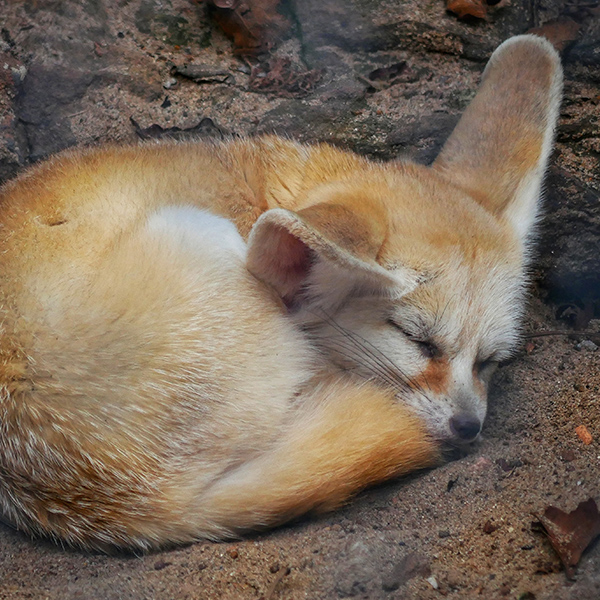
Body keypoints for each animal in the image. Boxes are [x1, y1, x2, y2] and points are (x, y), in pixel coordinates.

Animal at [0, 35, 564, 552]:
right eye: (417, 341)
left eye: (490, 361)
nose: (468, 427)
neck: (268, 190)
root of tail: (138, 504)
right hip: (198, 232)